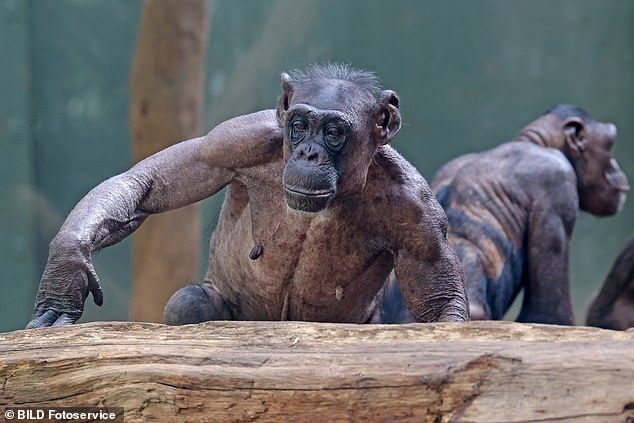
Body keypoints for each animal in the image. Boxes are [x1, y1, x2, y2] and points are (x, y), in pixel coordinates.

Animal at [27, 63, 466, 330]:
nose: (309, 154)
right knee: (190, 303)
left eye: (334, 131)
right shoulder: (229, 143)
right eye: (300, 125)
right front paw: (65, 274)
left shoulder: (418, 216)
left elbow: (440, 303)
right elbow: (147, 182)